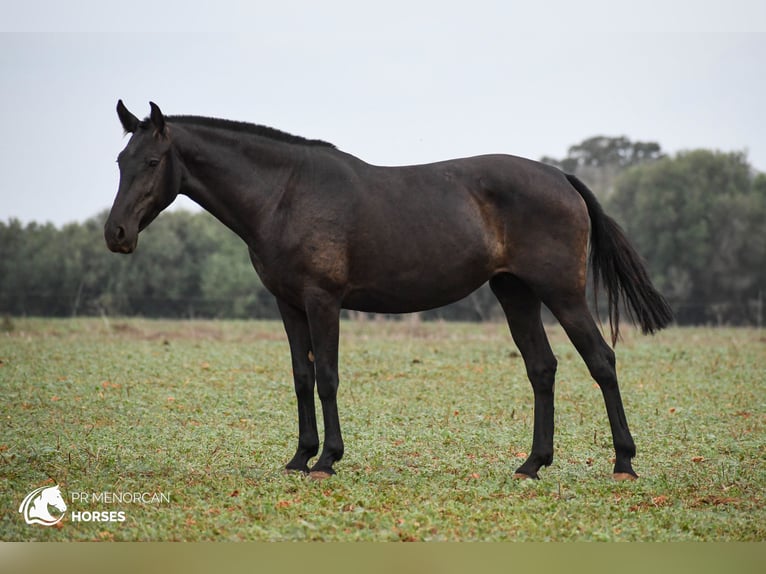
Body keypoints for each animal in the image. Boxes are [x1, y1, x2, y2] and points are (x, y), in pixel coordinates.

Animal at [103, 102, 672, 482]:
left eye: (152, 163)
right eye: (119, 161)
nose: (117, 234)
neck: (285, 193)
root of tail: (560, 176)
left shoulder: (322, 300)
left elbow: (327, 377)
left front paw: (327, 460)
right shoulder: (288, 304)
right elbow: (301, 376)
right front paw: (299, 456)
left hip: (563, 294)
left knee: (601, 361)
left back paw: (623, 462)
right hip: (516, 294)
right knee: (542, 368)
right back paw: (532, 464)